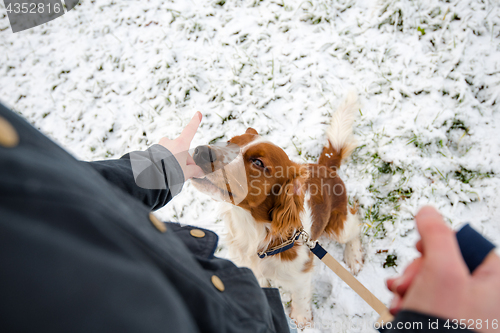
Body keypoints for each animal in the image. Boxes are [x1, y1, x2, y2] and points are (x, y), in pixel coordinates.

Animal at [191, 94, 364, 322]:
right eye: (229, 142)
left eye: (258, 162)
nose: (200, 151)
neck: (252, 228)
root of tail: (325, 167)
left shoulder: (301, 274)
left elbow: (300, 301)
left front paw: (301, 322)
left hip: (337, 226)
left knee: (355, 223)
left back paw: (354, 257)